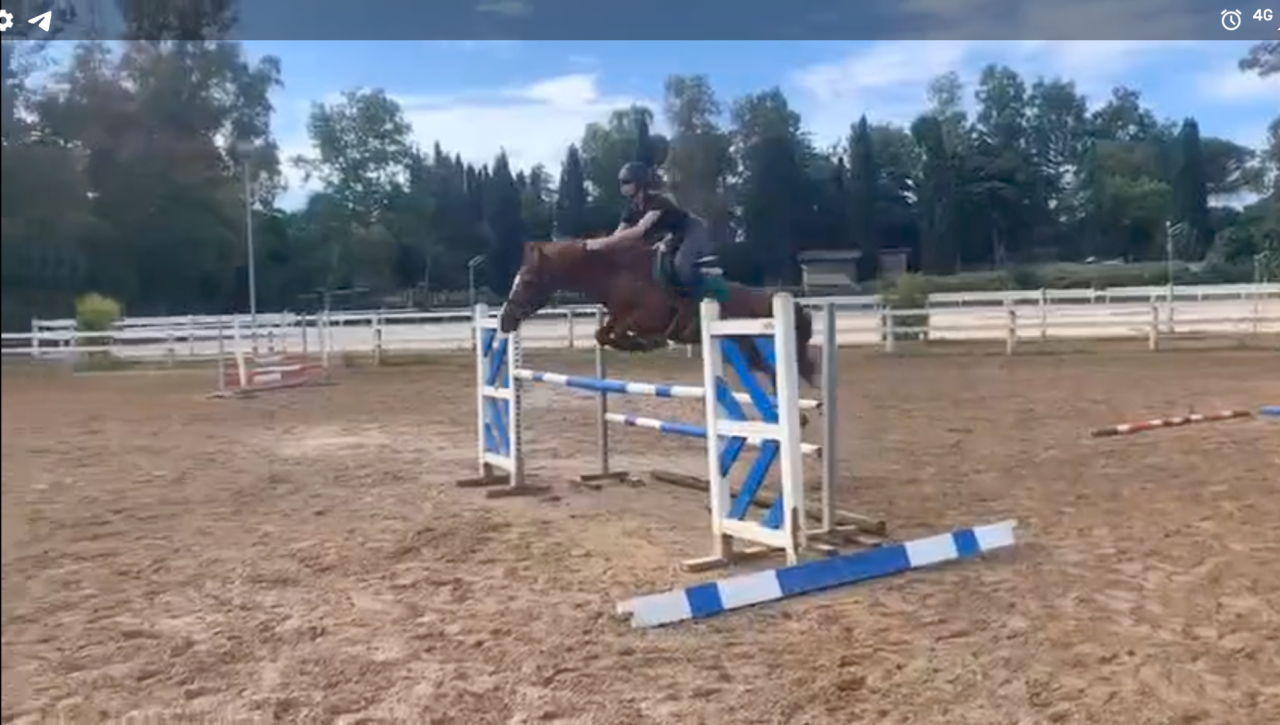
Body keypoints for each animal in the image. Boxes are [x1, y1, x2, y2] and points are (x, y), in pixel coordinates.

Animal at [496, 240, 818, 389]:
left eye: (528, 281)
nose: (505, 320)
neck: (616, 275)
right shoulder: (617, 317)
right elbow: (603, 333)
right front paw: (637, 344)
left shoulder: (647, 317)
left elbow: (622, 332)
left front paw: (645, 343)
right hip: (743, 349)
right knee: (770, 369)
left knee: (779, 369)